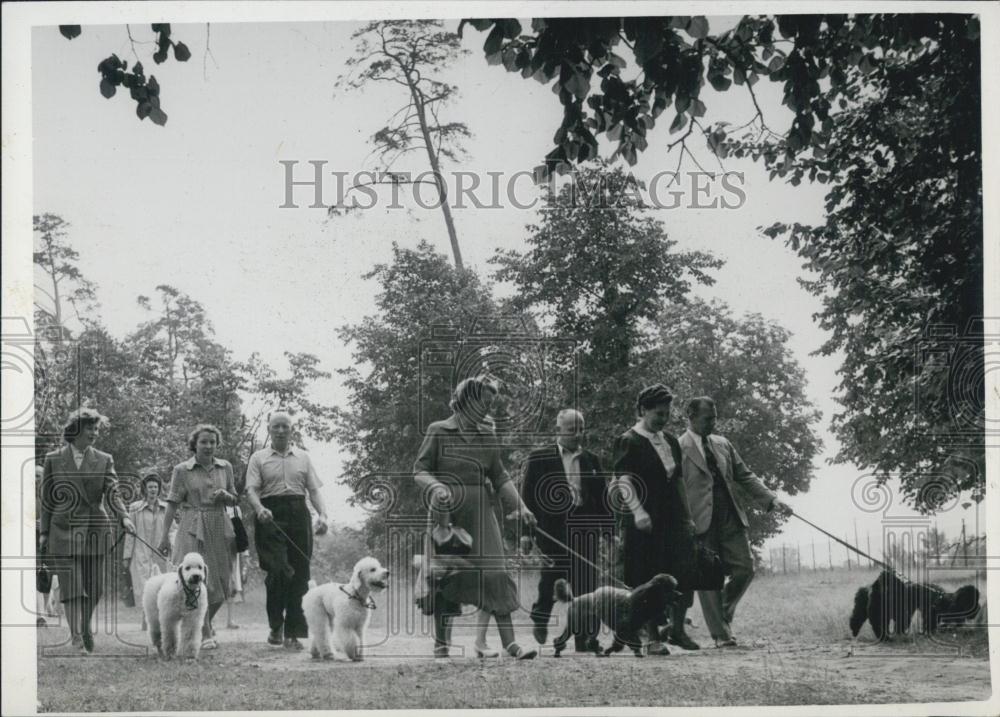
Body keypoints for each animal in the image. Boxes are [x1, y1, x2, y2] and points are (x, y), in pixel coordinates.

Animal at [552, 572, 684, 656]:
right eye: (668, 589)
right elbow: (626, 642)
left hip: (585, 623)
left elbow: (625, 643)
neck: (642, 600)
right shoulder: (624, 628)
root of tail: (574, 599)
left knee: (584, 640)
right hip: (579, 623)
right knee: (569, 639)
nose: (680, 594)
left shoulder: (629, 629)